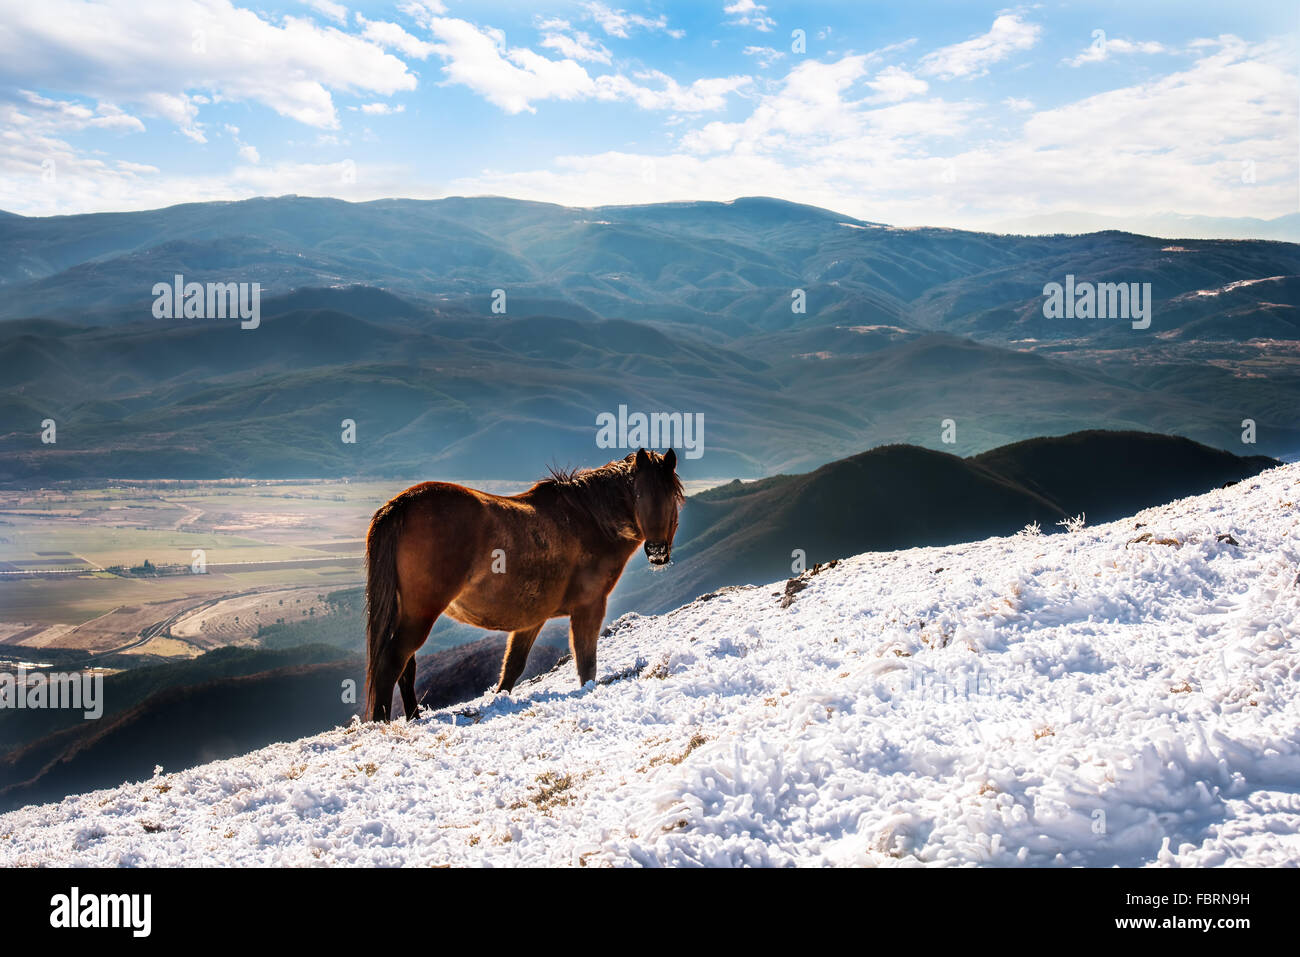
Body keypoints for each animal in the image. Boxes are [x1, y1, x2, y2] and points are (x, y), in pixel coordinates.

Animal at [361, 447, 686, 717]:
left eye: (670, 497)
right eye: (639, 495)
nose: (657, 551)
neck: (590, 521)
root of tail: (400, 505)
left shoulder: (532, 618)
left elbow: (511, 668)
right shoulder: (589, 606)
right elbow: (586, 662)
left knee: (406, 666)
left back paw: (414, 718)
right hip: (421, 613)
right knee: (392, 663)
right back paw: (381, 723)